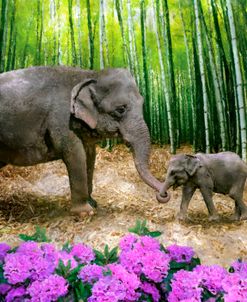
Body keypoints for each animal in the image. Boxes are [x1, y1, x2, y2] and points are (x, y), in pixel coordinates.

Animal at [0, 66, 170, 217]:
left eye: (142, 103)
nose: (164, 195)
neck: (89, 74)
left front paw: (93, 203)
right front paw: (85, 213)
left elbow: (90, 156)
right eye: (120, 109)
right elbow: (76, 156)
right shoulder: (62, 120)